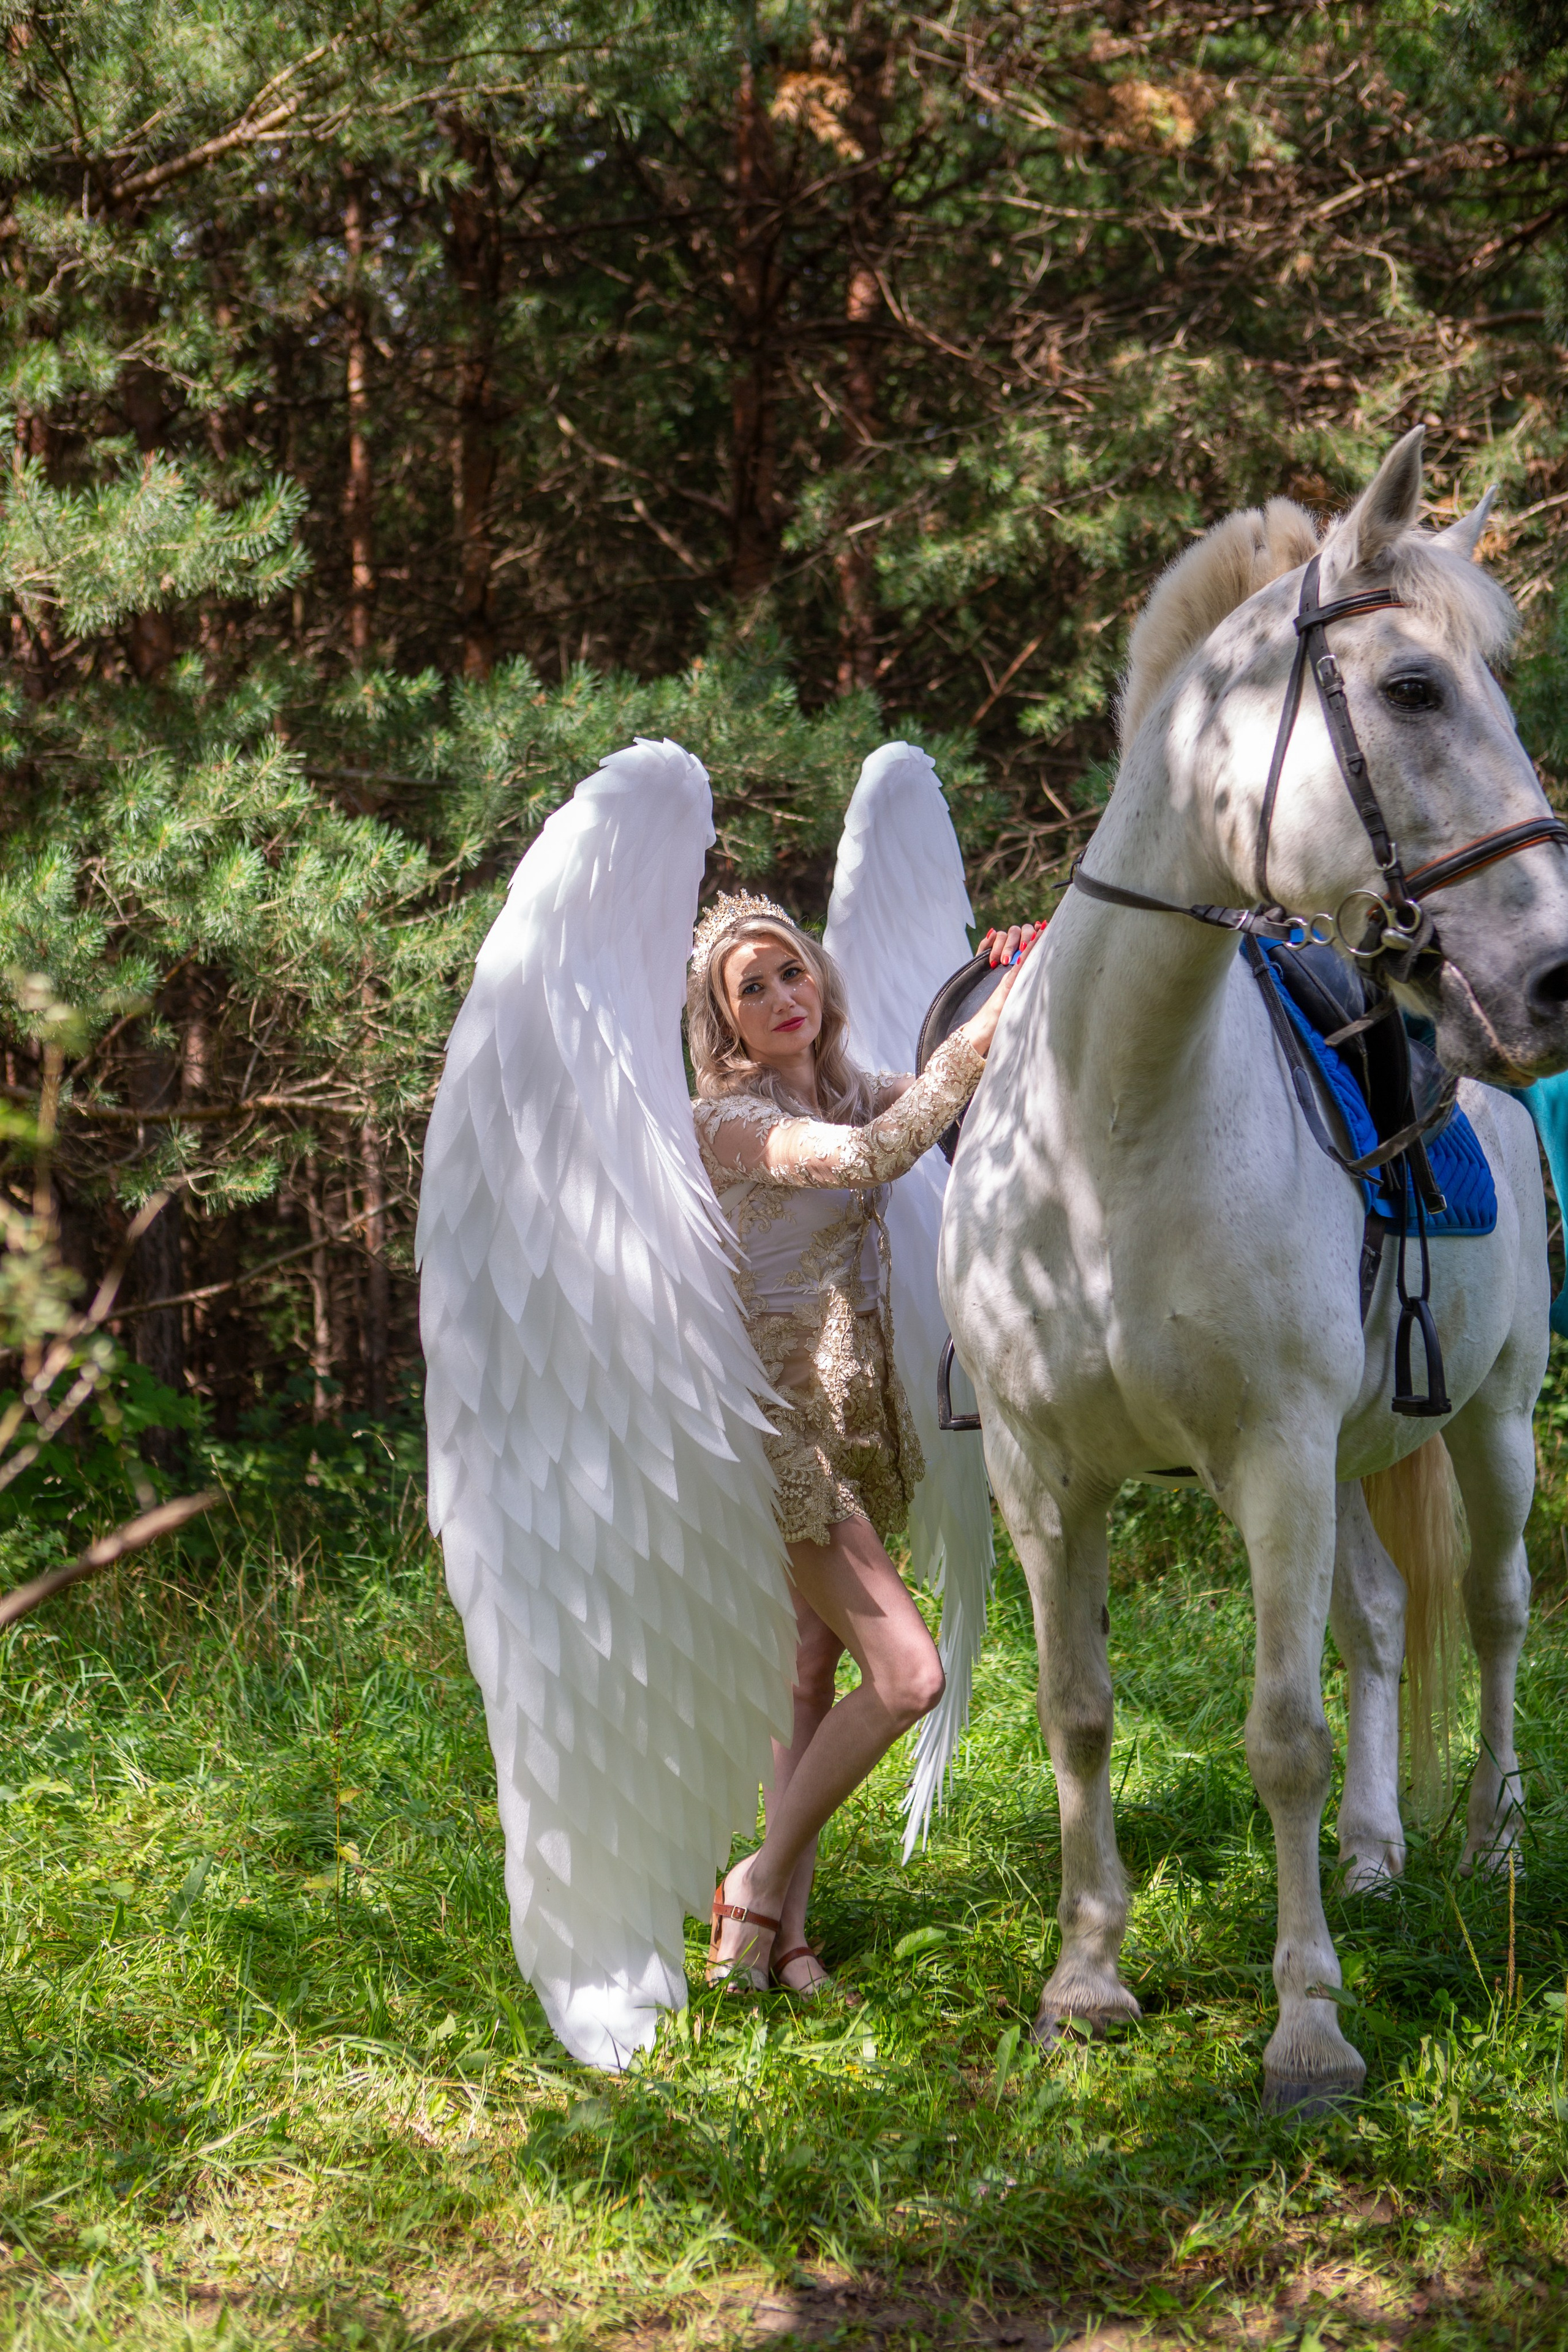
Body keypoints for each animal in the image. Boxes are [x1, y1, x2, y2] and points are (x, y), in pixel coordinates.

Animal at [939, 428, 1562, 2110]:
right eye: (1411, 688)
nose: (1548, 980)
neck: (1110, 1135)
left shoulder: (1274, 1459)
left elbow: (1279, 1731)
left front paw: (1305, 2026)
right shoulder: (1042, 1476)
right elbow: (1076, 1713)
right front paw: (1085, 1979)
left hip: (1485, 1425)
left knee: (1489, 1612)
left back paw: (1484, 1842)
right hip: (1353, 1456)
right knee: (1378, 1622)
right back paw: (1371, 1855)